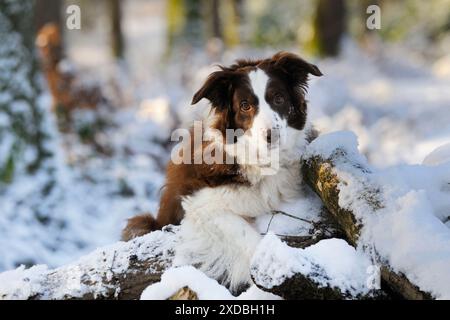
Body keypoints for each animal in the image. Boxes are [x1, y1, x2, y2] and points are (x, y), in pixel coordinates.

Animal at [121, 50, 322, 292]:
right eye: (245, 105)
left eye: (279, 99)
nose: (271, 136)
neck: (262, 161)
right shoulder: (200, 204)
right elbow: (246, 235)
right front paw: (270, 268)